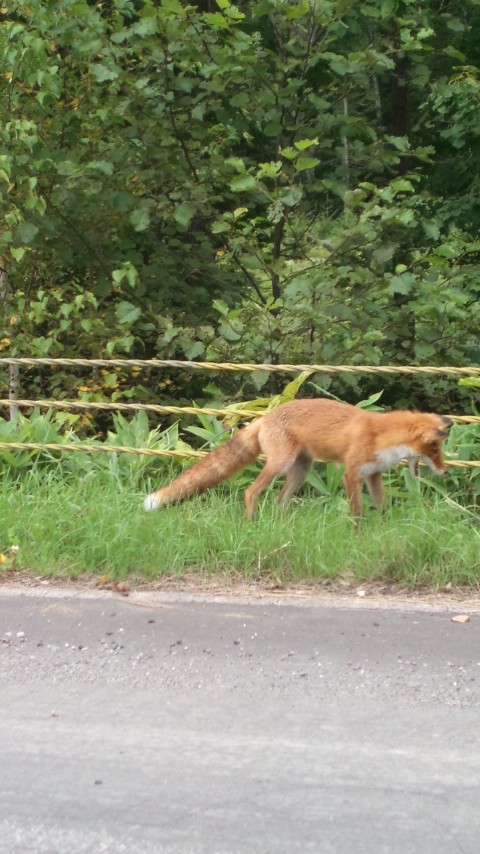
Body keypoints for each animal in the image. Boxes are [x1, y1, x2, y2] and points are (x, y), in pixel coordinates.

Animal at [144, 400, 452, 520]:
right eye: (435, 450)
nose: (444, 472)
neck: (381, 436)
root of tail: (265, 416)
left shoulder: (373, 474)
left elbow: (383, 505)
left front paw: (384, 526)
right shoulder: (351, 473)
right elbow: (356, 510)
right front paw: (358, 532)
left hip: (301, 470)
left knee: (280, 501)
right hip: (280, 464)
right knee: (251, 491)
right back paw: (251, 522)